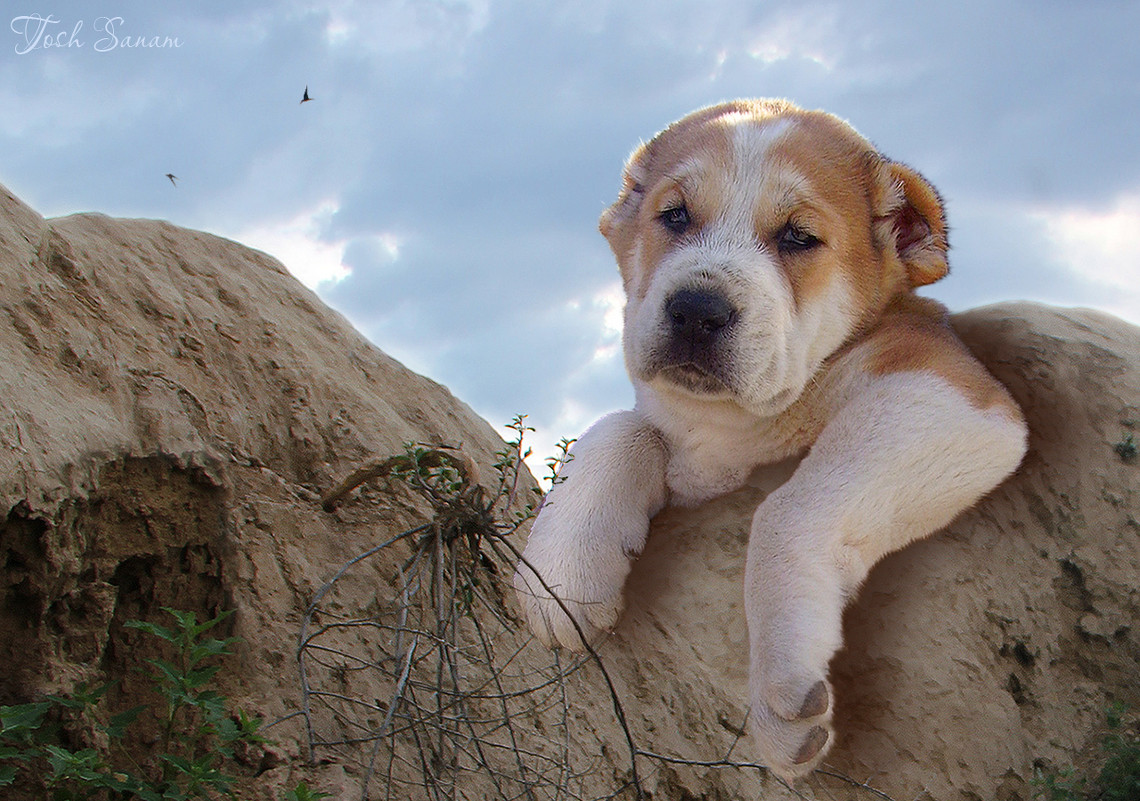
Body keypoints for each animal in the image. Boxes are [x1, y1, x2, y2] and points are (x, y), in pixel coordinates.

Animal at [513, 100, 1030, 783]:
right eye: (674, 216)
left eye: (798, 237)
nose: (696, 309)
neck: (736, 425)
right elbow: (616, 429)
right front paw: (562, 570)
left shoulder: (946, 393)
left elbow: (789, 507)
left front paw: (782, 676)